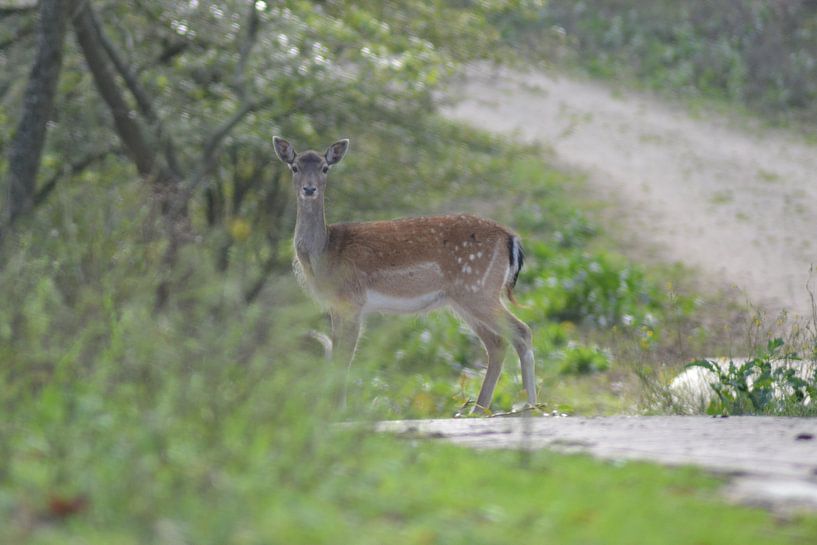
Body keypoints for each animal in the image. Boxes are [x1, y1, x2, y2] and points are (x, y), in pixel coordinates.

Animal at [274, 136, 536, 413]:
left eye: (325, 168)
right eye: (294, 167)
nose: (309, 189)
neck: (324, 253)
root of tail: (511, 238)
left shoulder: (352, 300)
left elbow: (344, 358)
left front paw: (336, 412)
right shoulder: (336, 306)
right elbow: (336, 356)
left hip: (478, 289)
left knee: (522, 332)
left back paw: (530, 405)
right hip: (463, 299)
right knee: (497, 343)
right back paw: (479, 410)